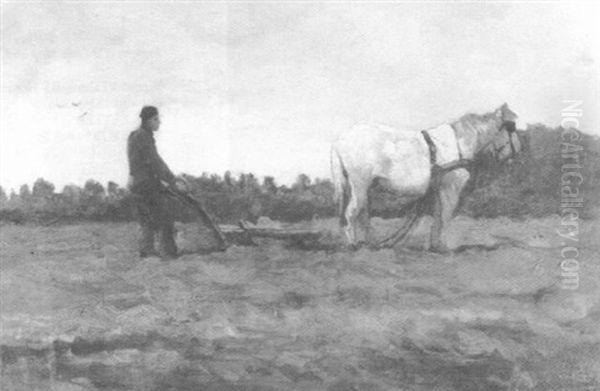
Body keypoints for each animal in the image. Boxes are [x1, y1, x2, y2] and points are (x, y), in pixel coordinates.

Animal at [330, 102, 516, 253]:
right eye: (511, 126)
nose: (515, 153)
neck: (459, 143)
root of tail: (340, 140)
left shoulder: (438, 189)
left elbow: (438, 216)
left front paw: (435, 245)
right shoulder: (451, 188)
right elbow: (445, 216)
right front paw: (444, 247)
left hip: (361, 187)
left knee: (363, 214)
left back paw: (368, 242)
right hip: (359, 185)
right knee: (352, 213)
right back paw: (353, 244)